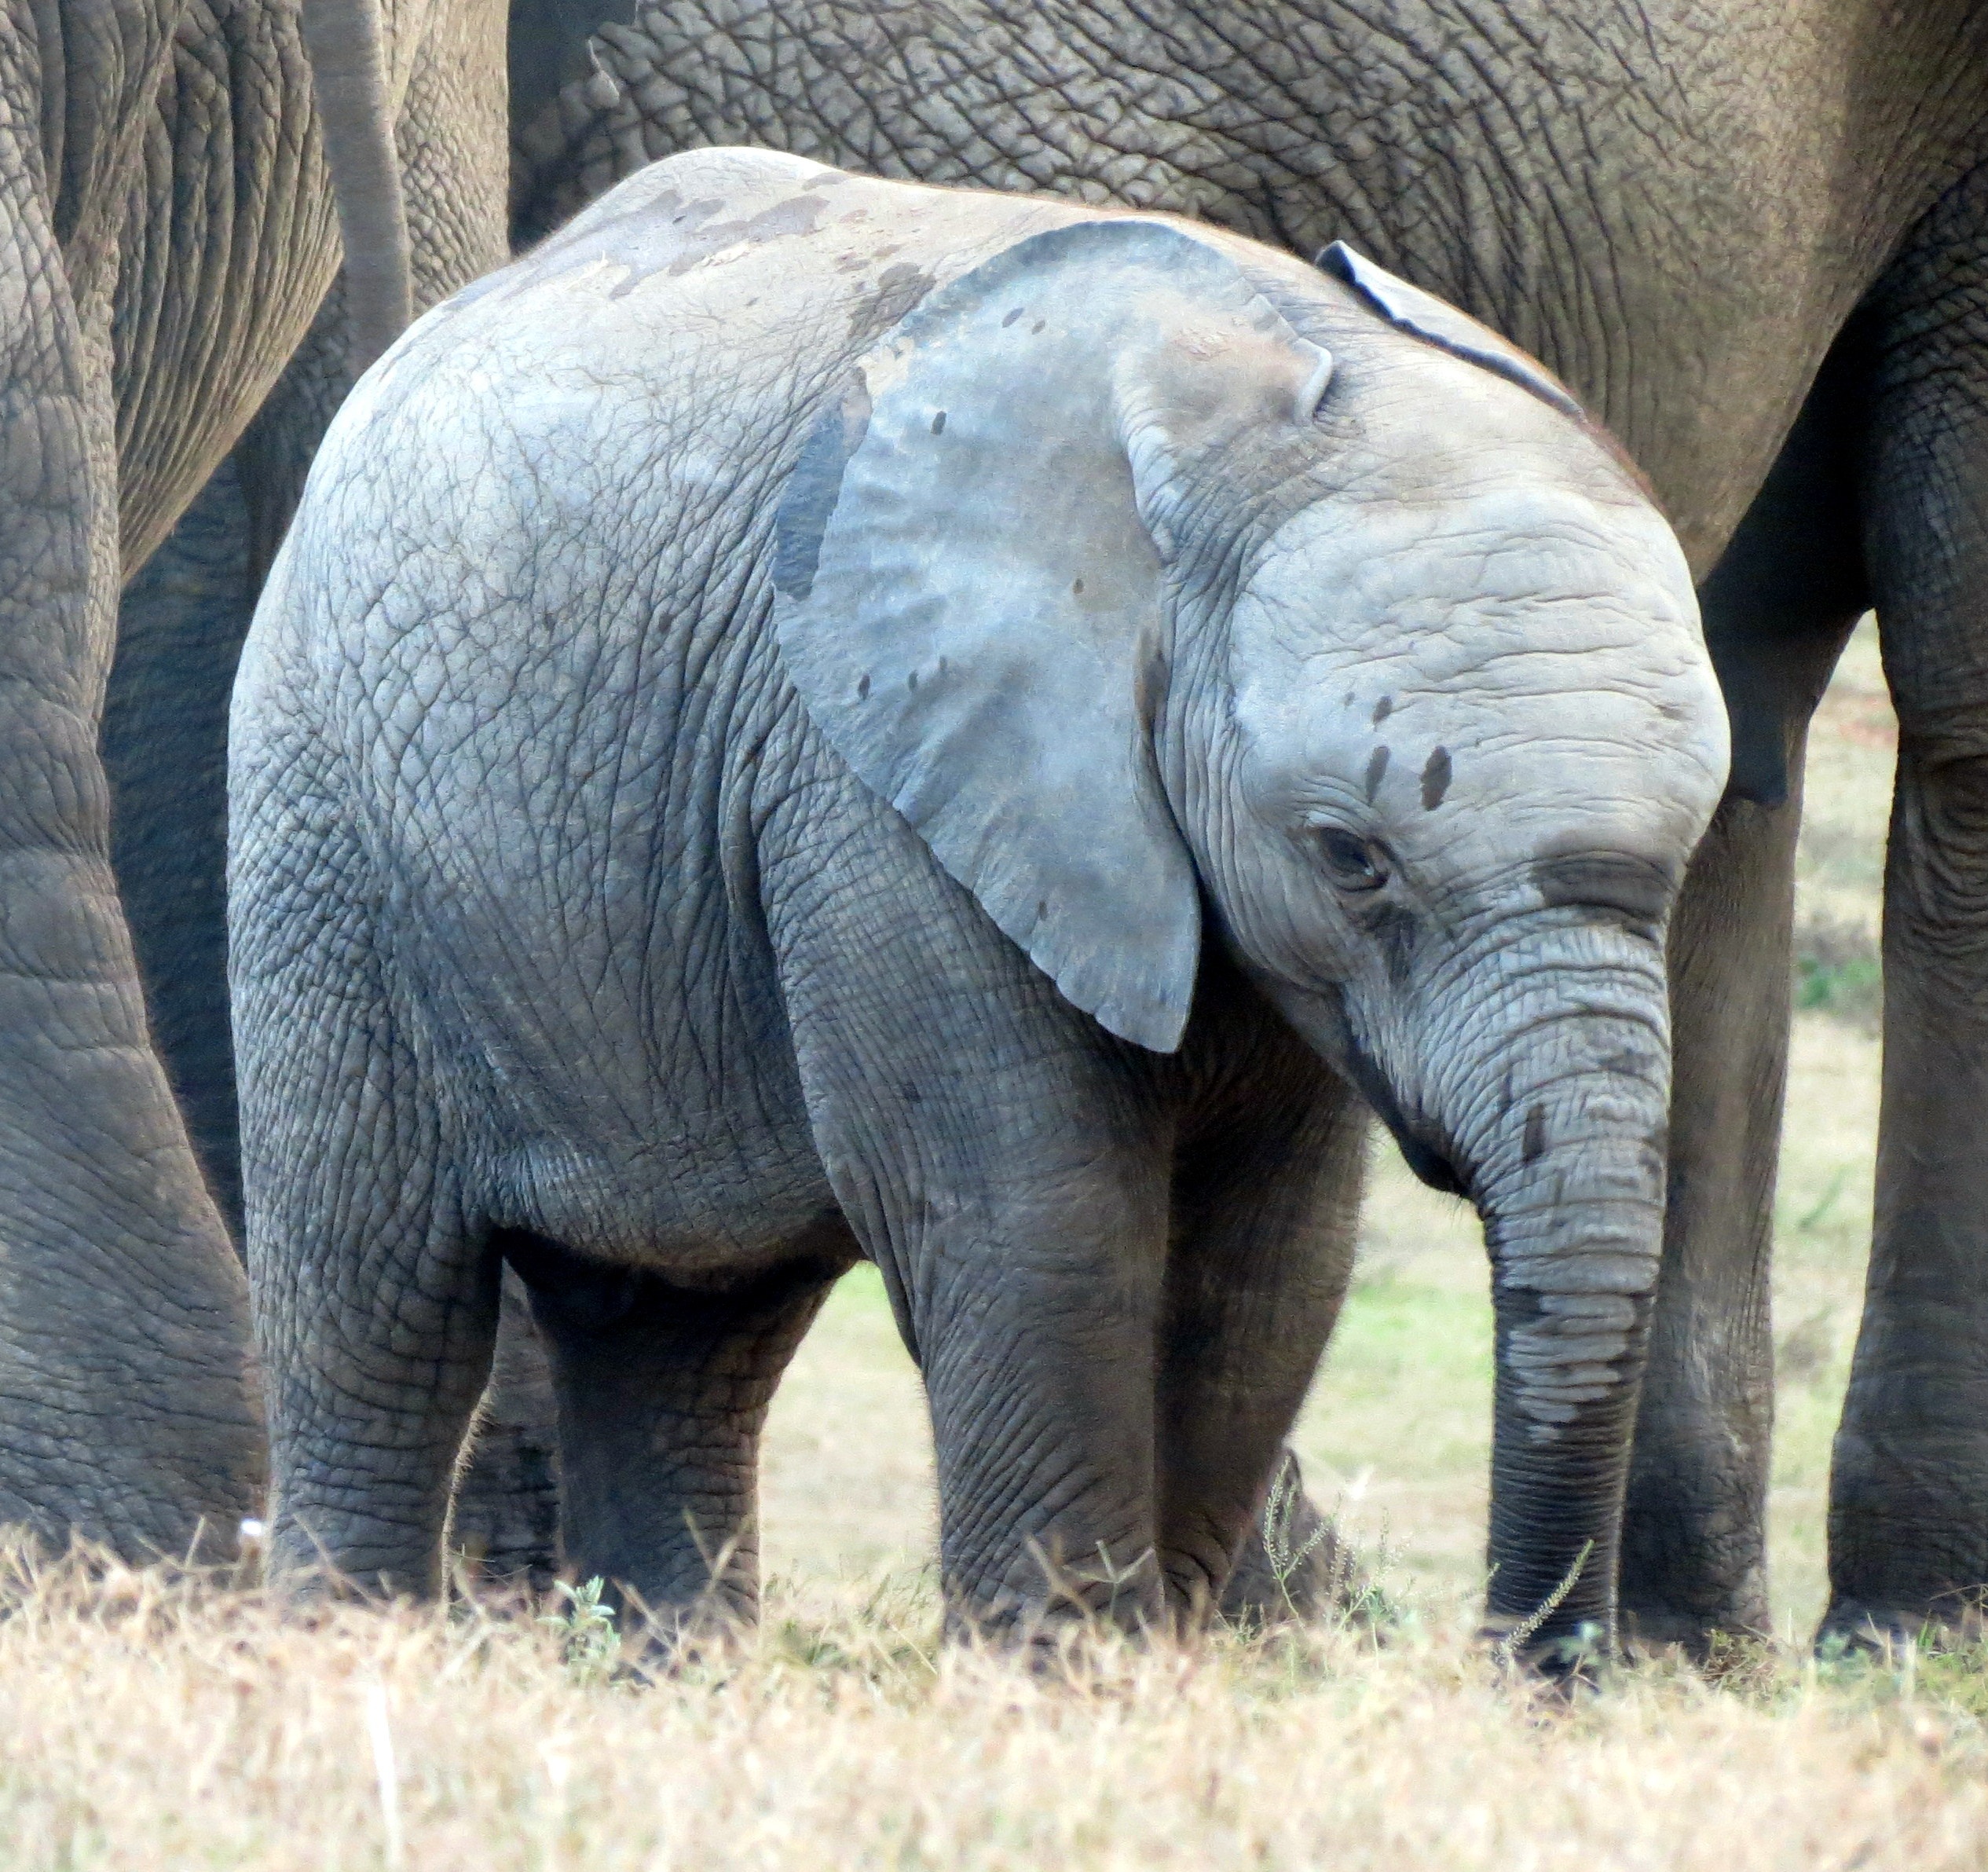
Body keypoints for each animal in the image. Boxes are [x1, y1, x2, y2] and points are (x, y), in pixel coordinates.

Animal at [229, 154, 1725, 1661]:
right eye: (1349, 854)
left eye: (1694, 833)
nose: (1547, 1677)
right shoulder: (868, 779)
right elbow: (1032, 1220)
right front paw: (1057, 1675)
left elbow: (1264, 1270)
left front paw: (1148, 1663)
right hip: (322, 825)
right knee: (378, 1297)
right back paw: (340, 1647)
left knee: (686, 1333)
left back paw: (672, 1673)